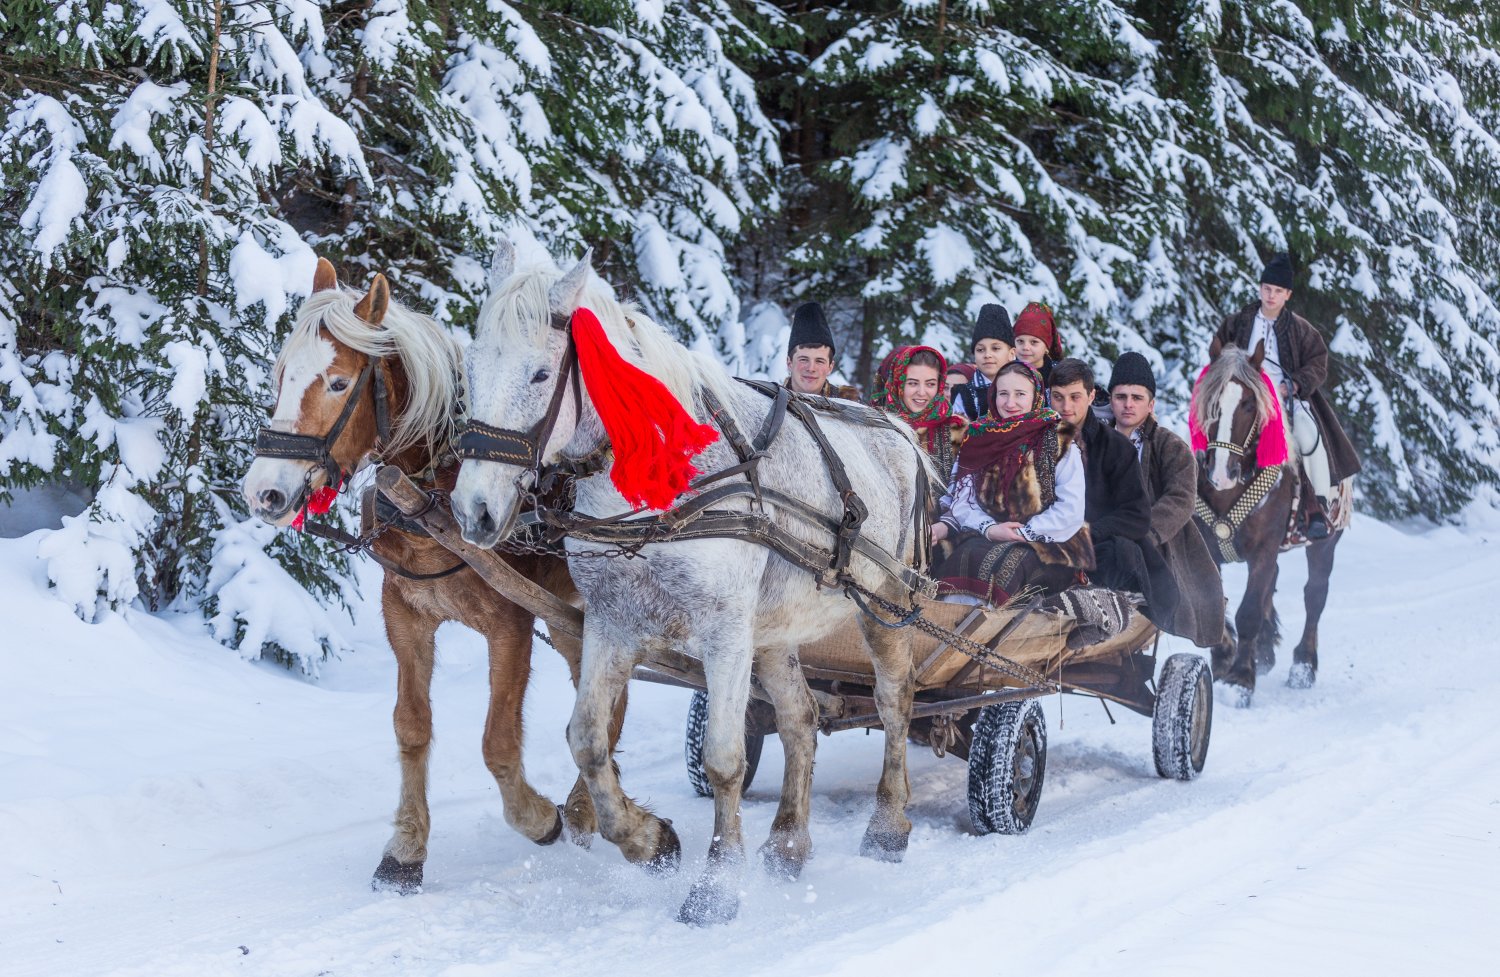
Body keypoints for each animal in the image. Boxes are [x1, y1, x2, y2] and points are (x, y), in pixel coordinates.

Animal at [243, 258, 618, 894]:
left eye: (339, 383)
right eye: (281, 375)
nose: (264, 491)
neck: (432, 494)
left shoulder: (511, 624)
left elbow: (497, 743)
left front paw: (537, 818)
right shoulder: (406, 616)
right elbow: (411, 728)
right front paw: (405, 851)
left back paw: (583, 810)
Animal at [447, 243, 936, 924]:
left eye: (541, 376)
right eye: (470, 366)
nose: (474, 510)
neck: (655, 492)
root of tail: (900, 430)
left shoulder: (724, 631)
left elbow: (724, 758)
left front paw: (716, 886)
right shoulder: (612, 621)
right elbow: (587, 740)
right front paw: (649, 841)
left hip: (885, 604)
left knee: (895, 703)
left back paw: (888, 826)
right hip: (774, 630)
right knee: (801, 717)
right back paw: (788, 843)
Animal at [1194, 340, 1350, 708]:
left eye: (1249, 404)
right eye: (1211, 401)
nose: (1221, 473)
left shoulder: (1263, 550)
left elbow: (1249, 611)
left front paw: (1240, 681)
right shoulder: (1210, 548)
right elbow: (1213, 603)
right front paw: (1225, 659)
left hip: (1325, 543)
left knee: (1314, 596)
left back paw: (1303, 667)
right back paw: (1263, 653)